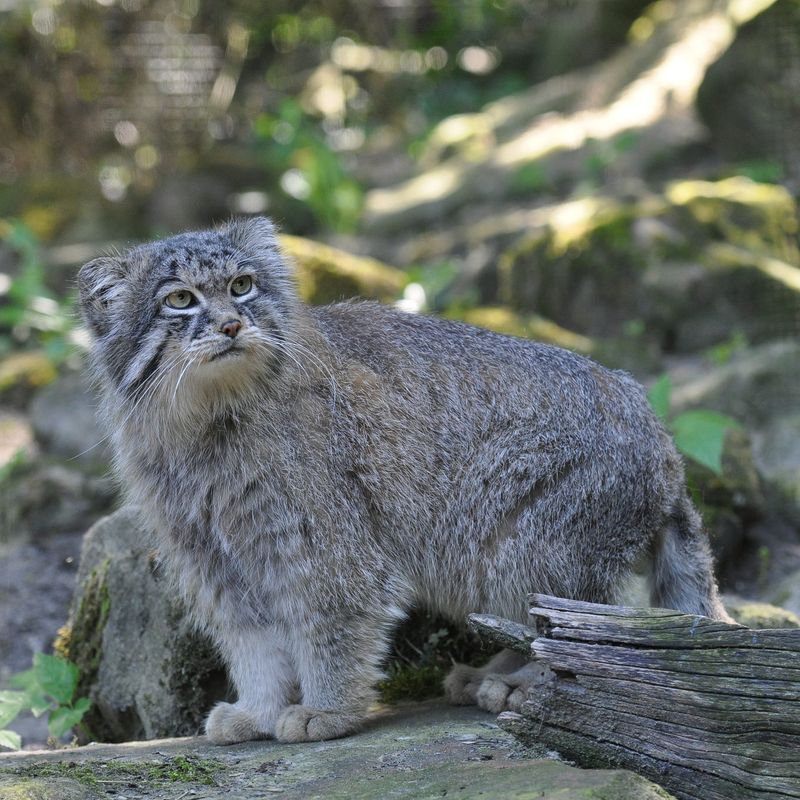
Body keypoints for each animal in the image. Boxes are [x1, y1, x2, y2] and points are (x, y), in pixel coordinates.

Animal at [78, 217, 728, 744]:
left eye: (242, 286)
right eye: (180, 299)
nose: (234, 325)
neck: (205, 426)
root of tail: (664, 441)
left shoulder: (323, 545)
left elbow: (329, 624)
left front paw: (328, 710)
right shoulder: (216, 559)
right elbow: (255, 645)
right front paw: (259, 710)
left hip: (525, 541)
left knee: (578, 627)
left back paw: (531, 683)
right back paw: (494, 672)